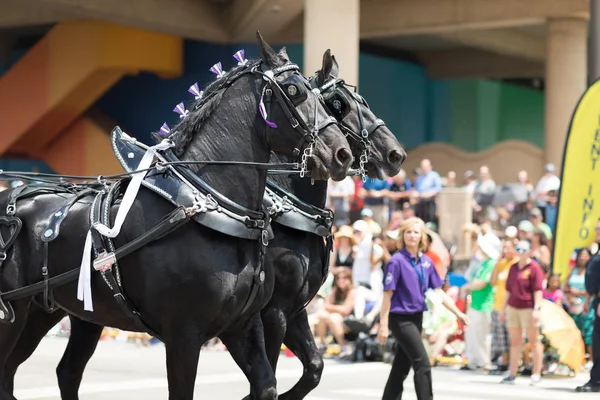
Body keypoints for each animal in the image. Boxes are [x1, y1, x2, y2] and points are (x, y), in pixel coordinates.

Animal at [0, 33, 352, 400]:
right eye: (294, 90)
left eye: (329, 103)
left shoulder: (245, 323)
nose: (341, 153)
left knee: (47, 372)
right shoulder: (186, 335)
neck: (210, 206)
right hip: (13, 317)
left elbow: (269, 384)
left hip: (54, 312)